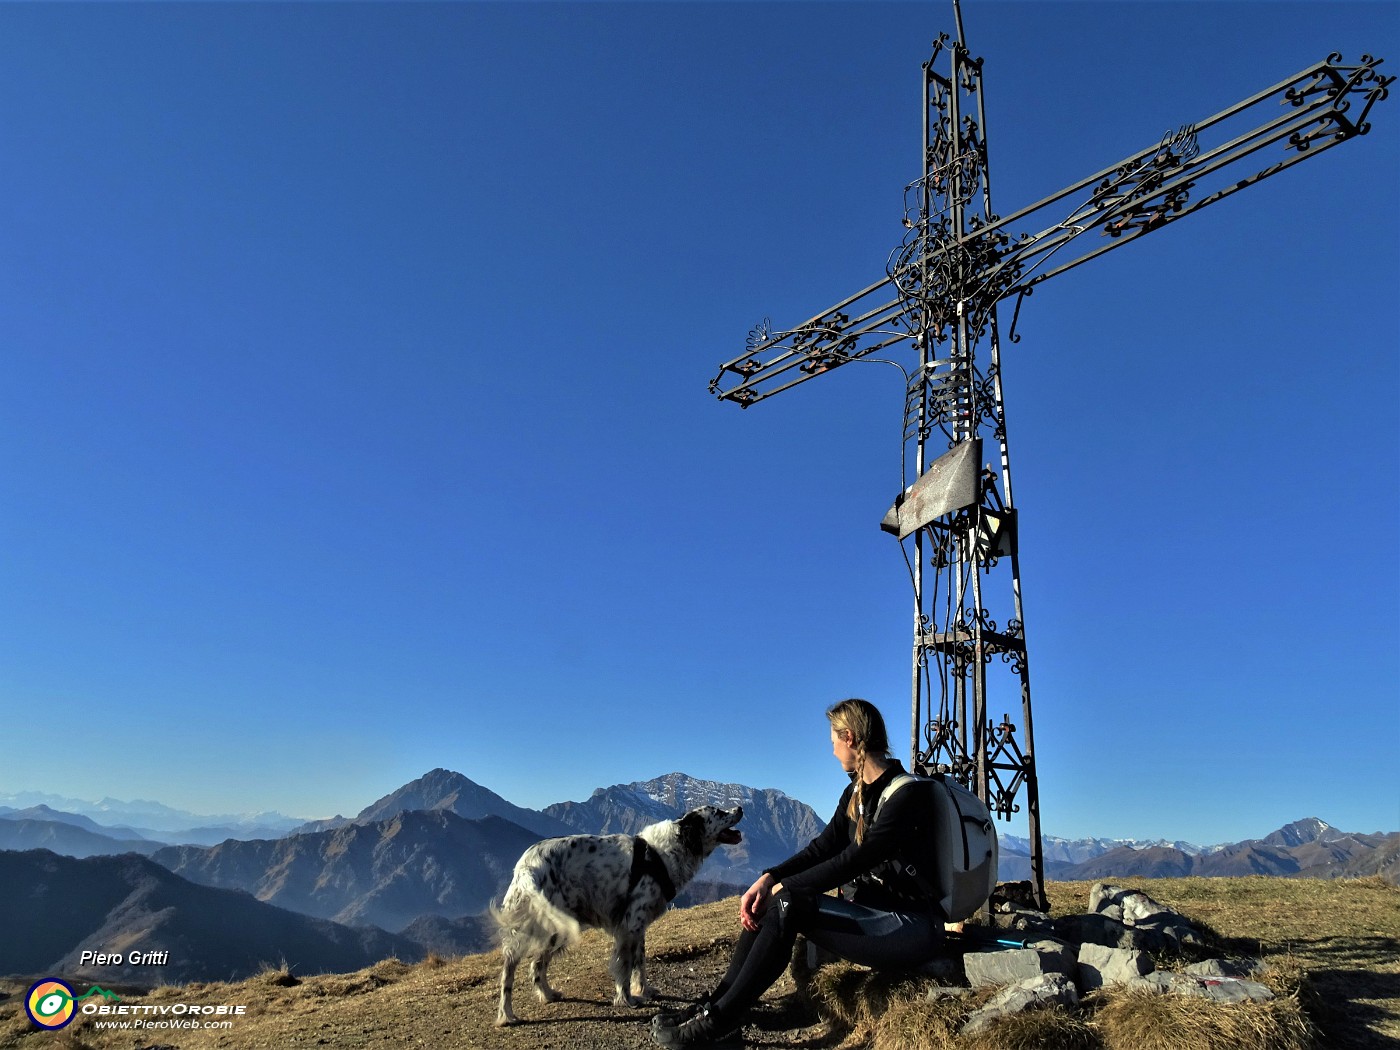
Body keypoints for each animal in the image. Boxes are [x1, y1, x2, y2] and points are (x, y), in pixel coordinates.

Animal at [492, 806, 744, 1030]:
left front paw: (643, 990)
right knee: (512, 971)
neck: (666, 853)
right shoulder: (630, 927)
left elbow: (640, 964)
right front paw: (627, 999)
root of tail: (526, 867)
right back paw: (507, 1015)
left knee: (535, 965)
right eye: (718, 812)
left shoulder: (639, 927)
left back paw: (546, 995)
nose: (740, 808)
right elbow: (626, 966)